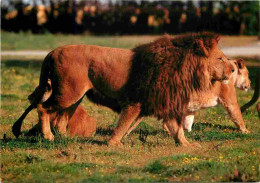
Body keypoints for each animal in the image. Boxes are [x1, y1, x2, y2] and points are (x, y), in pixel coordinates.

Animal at [11, 32, 236, 147]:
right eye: (220, 58)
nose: (233, 69)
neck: (186, 68)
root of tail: (52, 51)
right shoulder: (136, 102)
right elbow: (124, 124)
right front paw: (113, 143)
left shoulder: (161, 101)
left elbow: (176, 129)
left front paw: (187, 146)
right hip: (67, 93)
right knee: (42, 108)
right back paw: (48, 137)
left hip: (74, 96)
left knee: (60, 120)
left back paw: (65, 139)